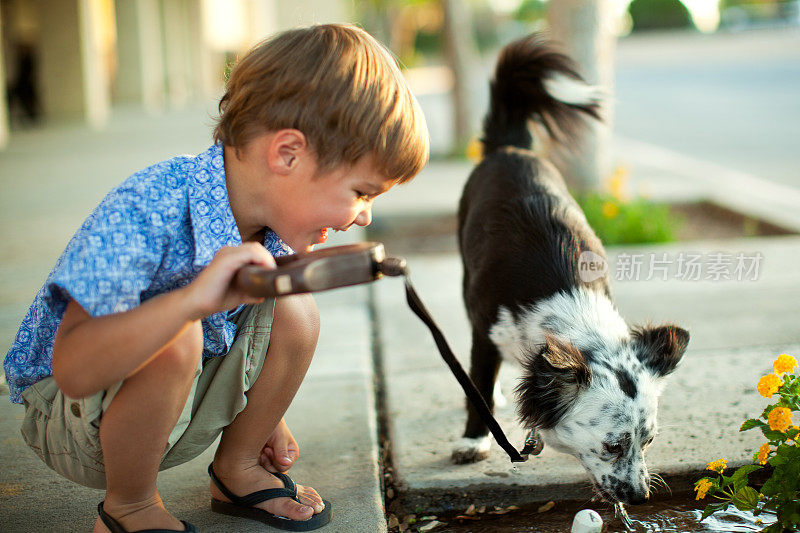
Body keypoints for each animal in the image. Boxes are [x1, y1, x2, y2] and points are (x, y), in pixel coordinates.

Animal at [450, 35, 688, 504]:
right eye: (612, 446)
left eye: (649, 440)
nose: (640, 497)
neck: (567, 302)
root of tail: (511, 148)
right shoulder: (486, 331)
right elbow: (479, 380)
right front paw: (473, 438)